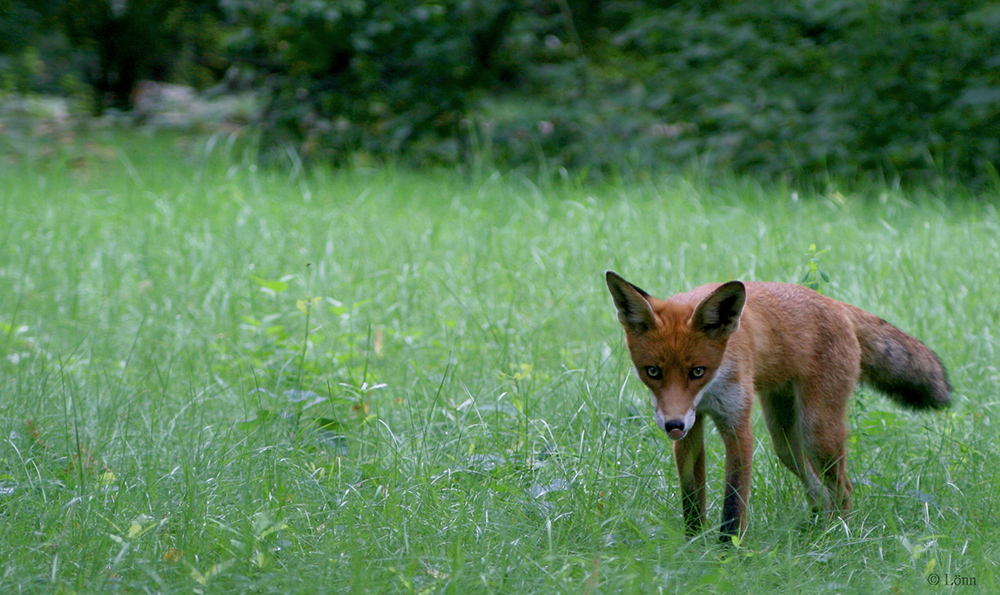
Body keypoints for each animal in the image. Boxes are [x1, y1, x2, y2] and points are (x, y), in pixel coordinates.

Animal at [604, 272, 948, 544]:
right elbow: (691, 499)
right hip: (784, 440)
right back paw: (817, 528)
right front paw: (693, 547)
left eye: (697, 371)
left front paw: (727, 553)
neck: (709, 392)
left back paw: (840, 536)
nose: (673, 425)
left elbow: (733, 503)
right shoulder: (691, 430)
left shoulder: (737, 426)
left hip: (817, 432)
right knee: (818, 489)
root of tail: (836, 304)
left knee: (843, 488)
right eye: (653, 371)